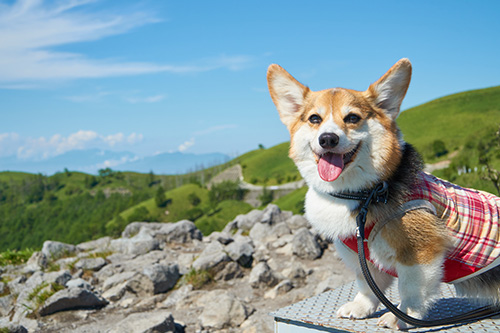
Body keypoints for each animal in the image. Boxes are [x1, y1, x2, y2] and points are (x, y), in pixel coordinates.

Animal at [268, 58, 500, 328]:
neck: (365, 192)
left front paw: (403, 316)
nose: (328, 139)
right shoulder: (364, 259)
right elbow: (368, 285)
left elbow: (411, 289)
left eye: (352, 118)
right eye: (315, 118)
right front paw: (360, 307)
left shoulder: (420, 253)